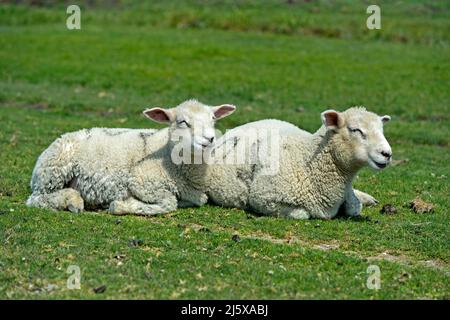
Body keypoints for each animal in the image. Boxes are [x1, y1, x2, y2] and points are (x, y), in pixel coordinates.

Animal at [25, 99, 236, 216]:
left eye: (213, 119)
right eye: (182, 122)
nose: (209, 139)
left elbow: (198, 199)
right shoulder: (141, 180)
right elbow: (169, 203)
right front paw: (121, 205)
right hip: (53, 171)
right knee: (36, 199)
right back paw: (72, 200)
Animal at [200, 107, 390, 220]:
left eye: (381, 130)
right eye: (355, 130)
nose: (387, 154)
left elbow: (354, 207)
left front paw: (362, 200)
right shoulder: (264, 198)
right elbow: (302, 214)